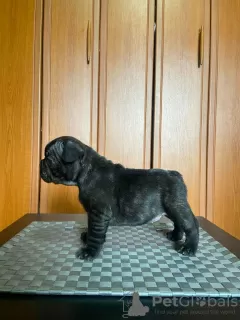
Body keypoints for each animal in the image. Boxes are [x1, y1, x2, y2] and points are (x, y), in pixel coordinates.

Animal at [40, 136, 199, 260]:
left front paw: (90, 251)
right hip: (171, 208)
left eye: (49, 158)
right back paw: (175, 236)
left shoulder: (98, 213)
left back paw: (189, 247)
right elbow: (95, 229)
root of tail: (176, 174)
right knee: (178, 222)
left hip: (176, 206)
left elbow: (95, 232)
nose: (40, 163)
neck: (86, 172)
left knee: (191, 224)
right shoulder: (95, 215)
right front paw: (90, 238)